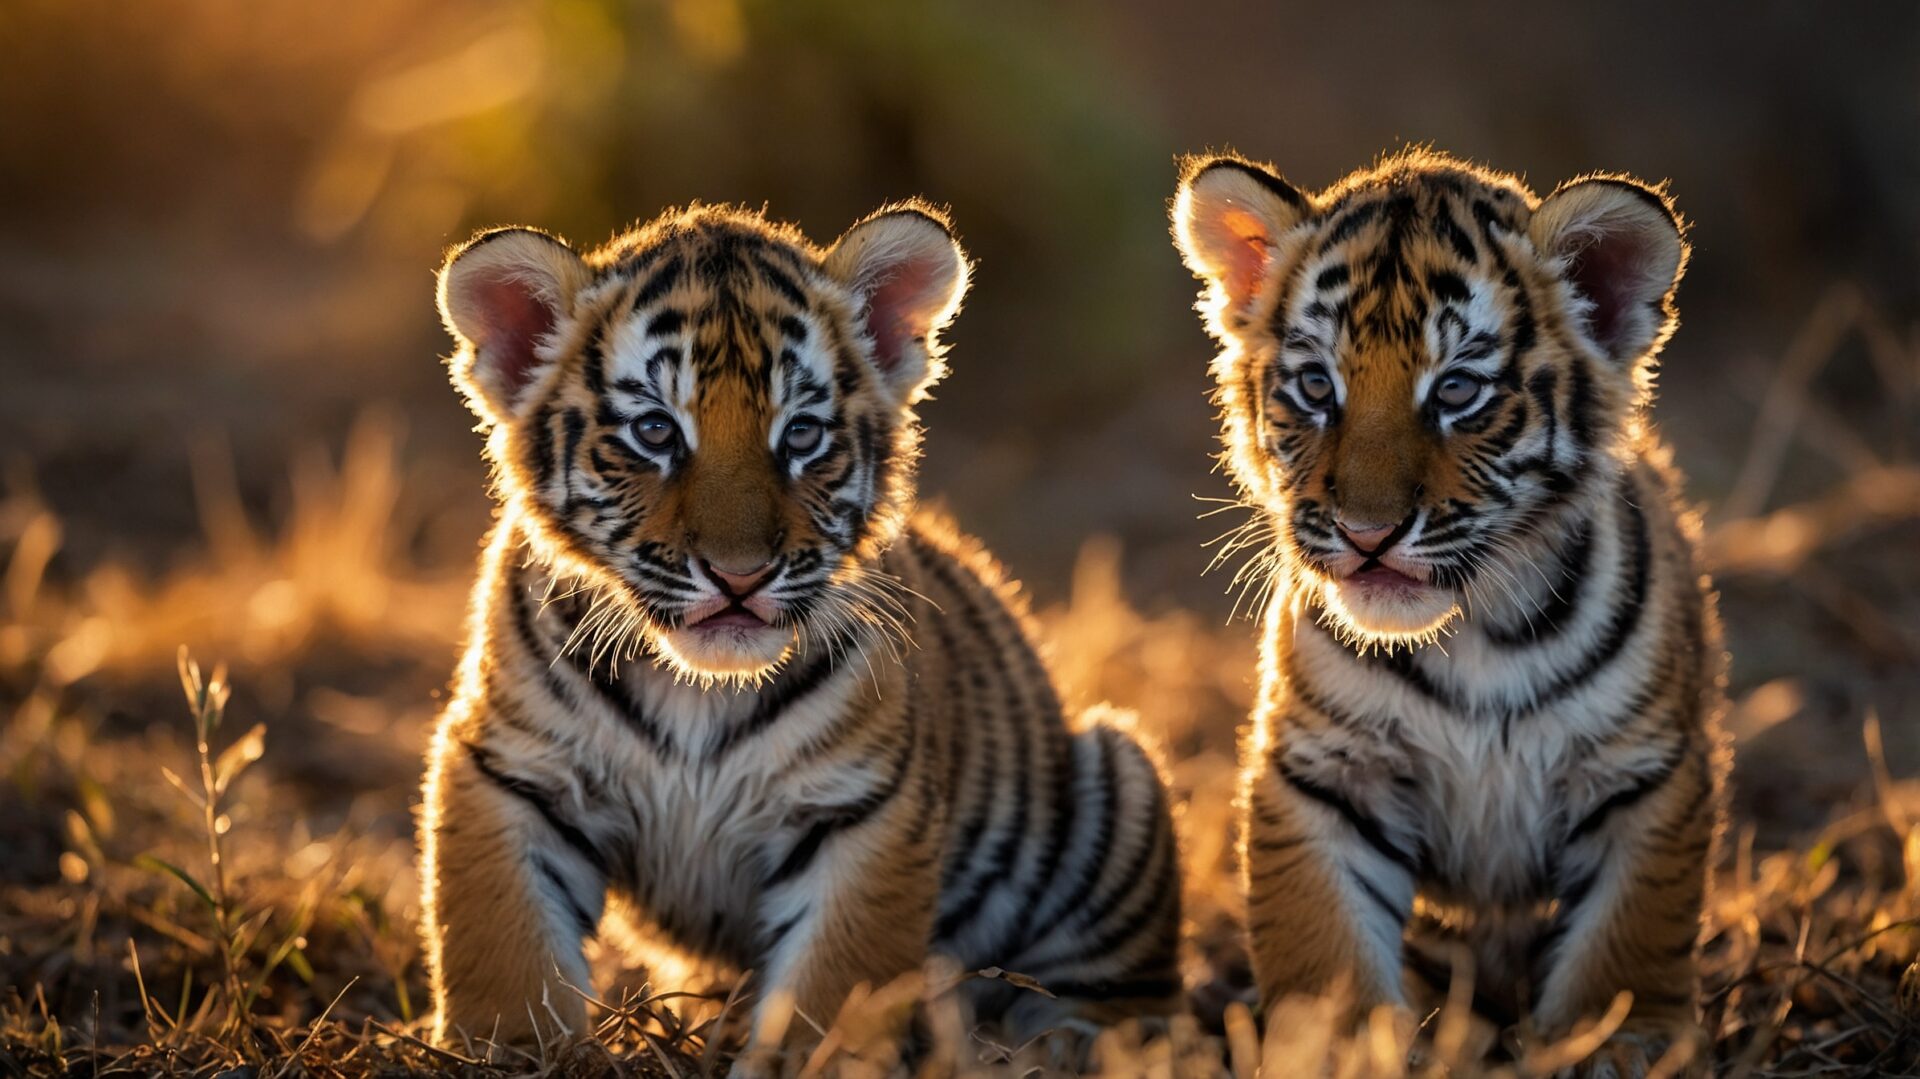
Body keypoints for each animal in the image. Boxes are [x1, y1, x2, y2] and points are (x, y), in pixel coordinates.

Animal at [417, 201, 1182, 1070]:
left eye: (804, 434)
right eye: (655, 431)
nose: (739, 575)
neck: (696, 688)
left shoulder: (860, 807)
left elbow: (835, 982)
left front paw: (805, 1059)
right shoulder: (510, 769)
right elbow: (502, 940)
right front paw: (510, 1051)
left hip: (1119, 780)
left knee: (1127, 1000)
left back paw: (1047, 1048)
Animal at [1170, 148, 1729, 1075]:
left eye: (1458, 390)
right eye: (1317, 385)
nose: (1366, 532)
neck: (1475, 635)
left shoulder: (1641, 773)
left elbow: (1629, 934)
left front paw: (1619, 1042)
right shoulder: (1328, 773)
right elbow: (1323, 941)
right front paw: (1338, 1044)